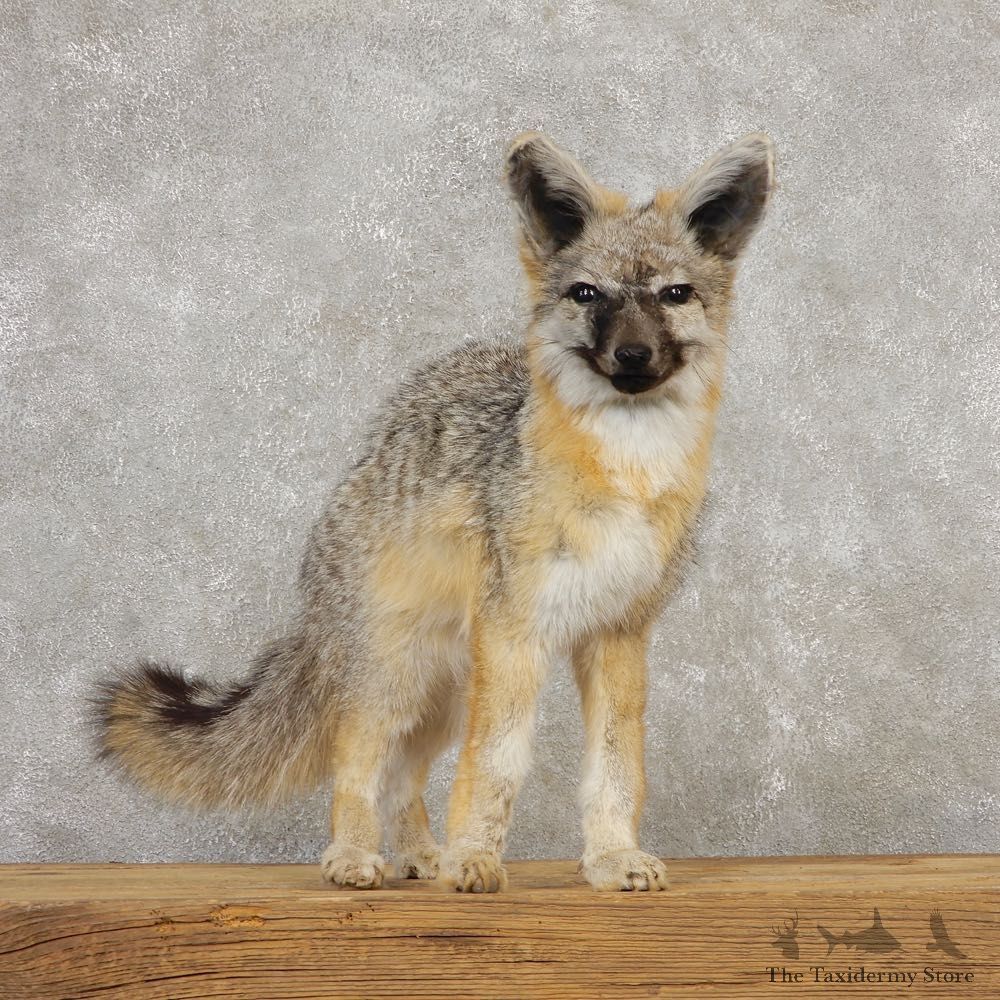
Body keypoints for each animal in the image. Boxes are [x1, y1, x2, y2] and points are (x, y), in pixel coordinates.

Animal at [95, 130, 775, 893]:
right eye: (587, 294)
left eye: (674, 295)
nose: (631, 356)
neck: (625, 475)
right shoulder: (515, 635)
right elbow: (496, 763)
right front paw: (474, 858)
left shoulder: (619, 636)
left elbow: (615, 766)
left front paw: (610, 858)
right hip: (399, 677)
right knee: (357, 762)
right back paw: (357, 856)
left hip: (444, 693)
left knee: (403, 778)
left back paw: (420, 855)